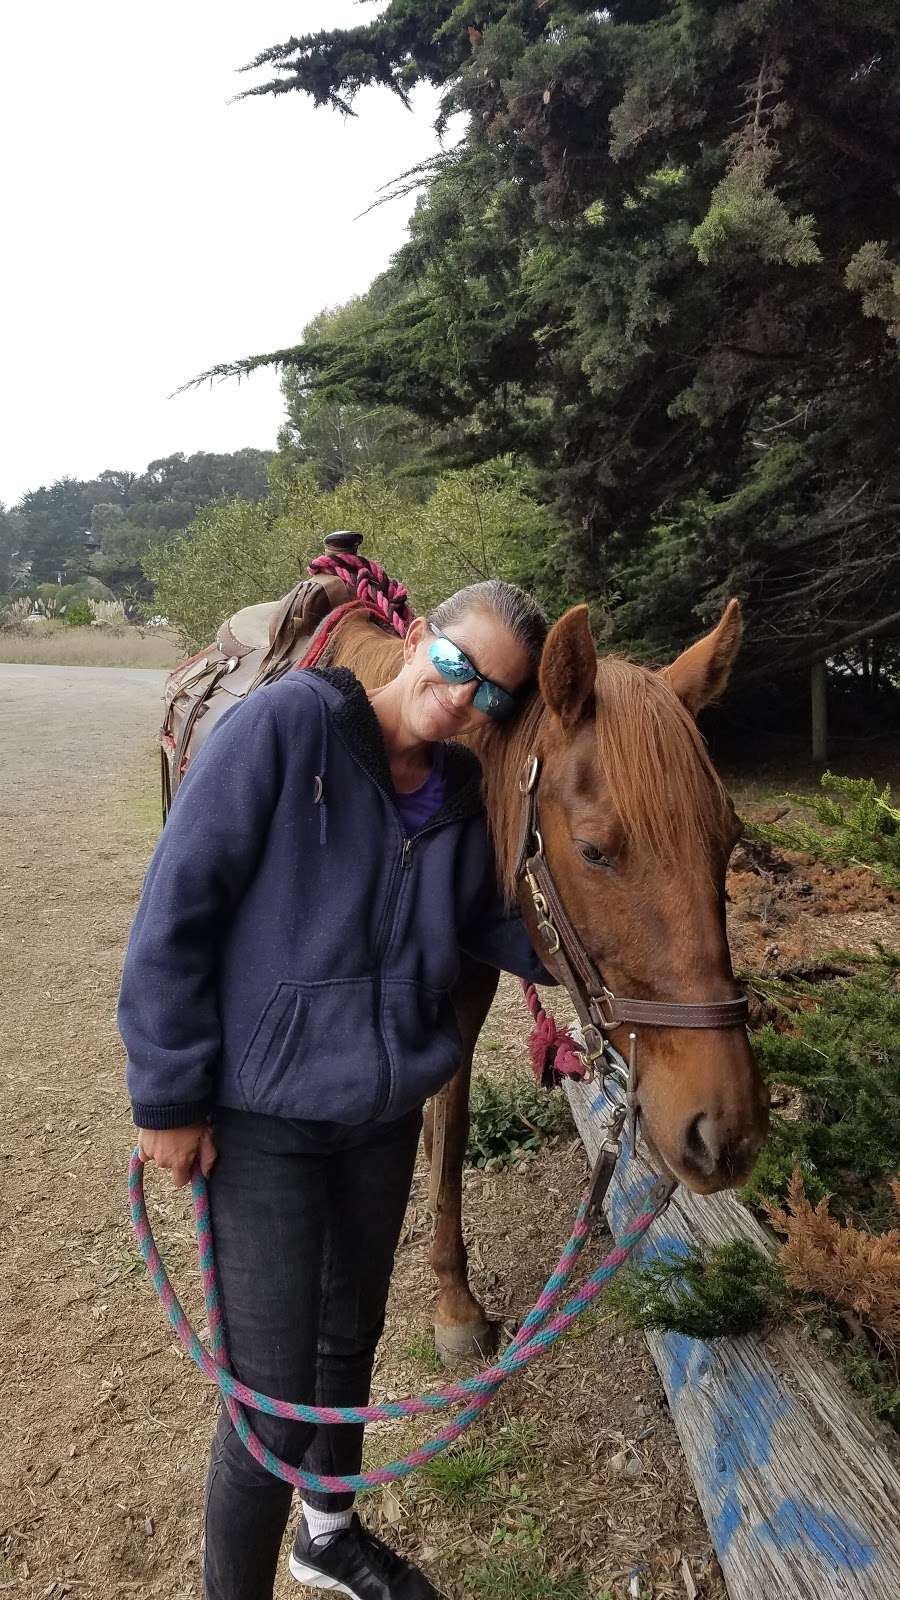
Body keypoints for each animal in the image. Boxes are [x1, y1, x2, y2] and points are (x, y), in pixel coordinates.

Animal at [159, 555, 768, 1361]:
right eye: (594, 851)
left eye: (728, 840)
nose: (724, 1131)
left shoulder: (462, 1000)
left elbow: (449, 1134)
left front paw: (451, 1289)